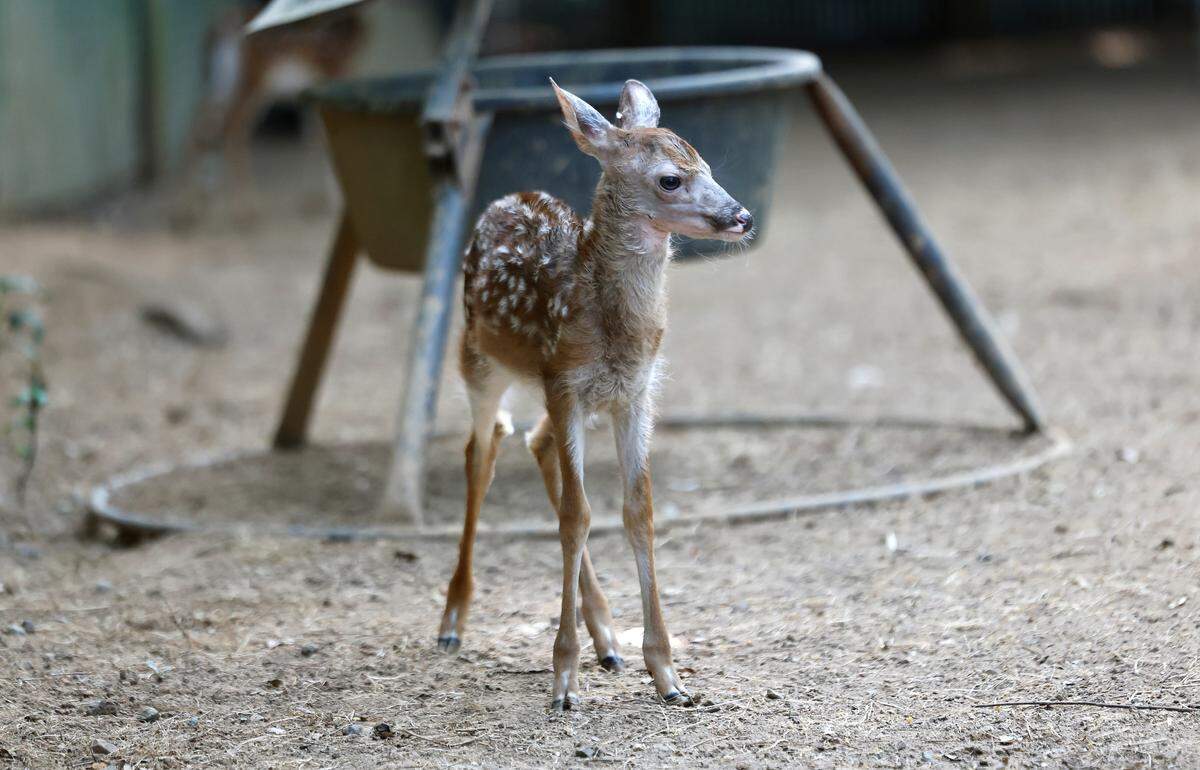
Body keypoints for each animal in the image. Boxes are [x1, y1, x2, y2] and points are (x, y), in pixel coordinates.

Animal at [436, 78, 753, 711]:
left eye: (706, 163)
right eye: (670, 179)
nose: (742, 215)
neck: (613, 327)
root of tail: (504, 198)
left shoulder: (635, 393)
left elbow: (637, 510)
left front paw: (666, 673)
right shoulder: (565, 381)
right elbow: (576, 515)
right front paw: (563, 678)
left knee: (534, 443)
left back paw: (607, 637)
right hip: (479, 359)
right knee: (482, 452)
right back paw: (453, 621)